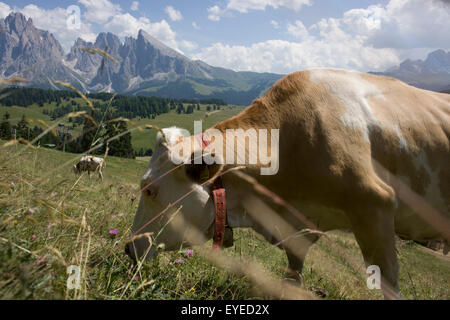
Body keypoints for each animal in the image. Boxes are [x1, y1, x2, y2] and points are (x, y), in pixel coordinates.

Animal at [127, 69, 450, 298]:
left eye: (150, 190)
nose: (129, 248)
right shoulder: (298, 228)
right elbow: (292, 277)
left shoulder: (374, 205)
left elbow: (388, 282)